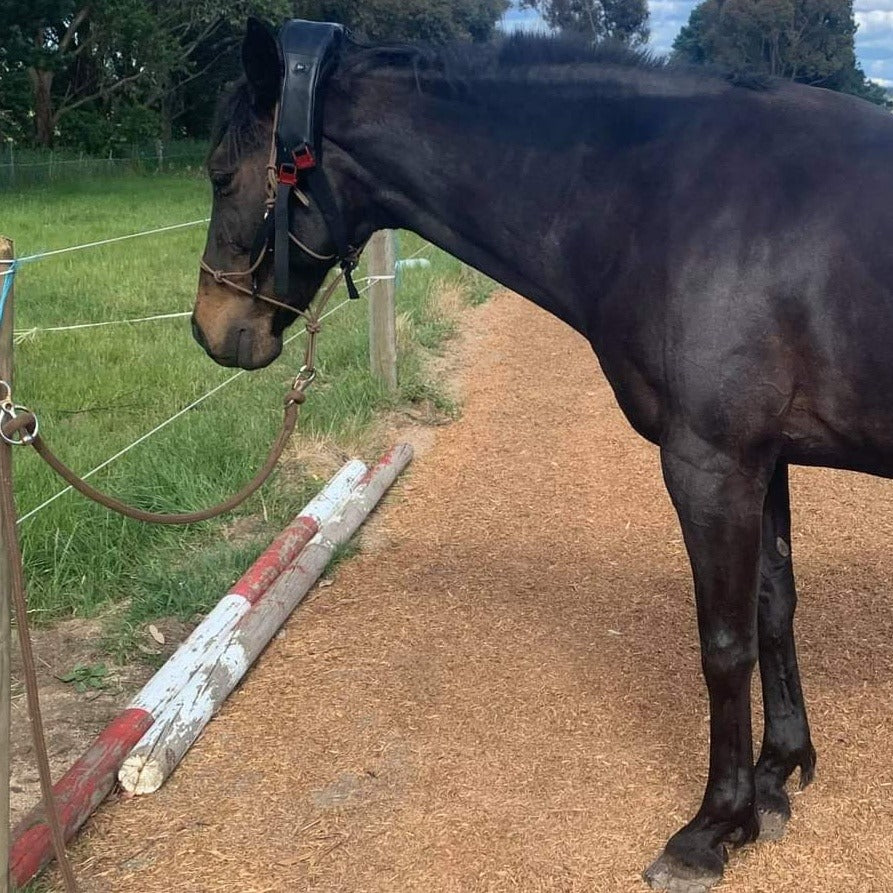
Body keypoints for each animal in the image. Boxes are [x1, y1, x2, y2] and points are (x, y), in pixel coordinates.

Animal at [192, 19, 893, 891]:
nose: (212, 328)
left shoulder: (710, 465)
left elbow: (722, 645)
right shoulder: (761, 460)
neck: (678, 196)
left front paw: (709, 827)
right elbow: (772, 608)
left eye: (222, 174)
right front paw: (774, 778)